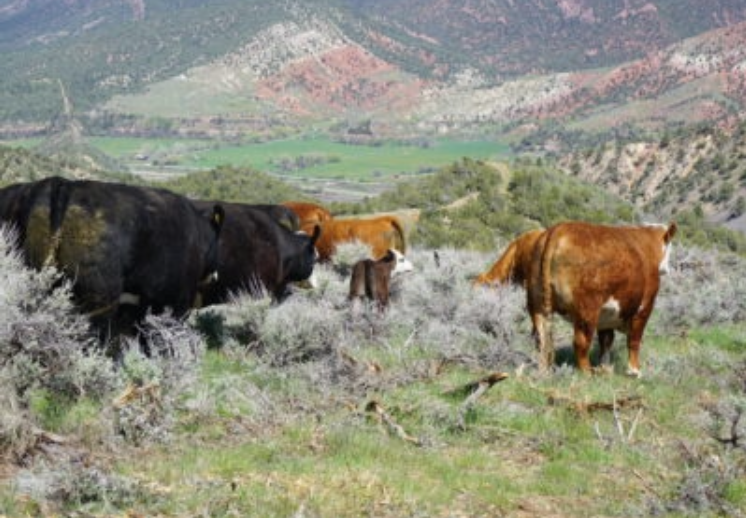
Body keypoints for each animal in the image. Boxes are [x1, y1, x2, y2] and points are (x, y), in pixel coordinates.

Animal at [524, 222, 676, 378]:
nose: (667, 268)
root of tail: (557, 230)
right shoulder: (644, 307)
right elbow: (634, 340)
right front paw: (634, 371)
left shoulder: (607, 315)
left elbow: (606, 341)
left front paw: (606, 368)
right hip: (587, 310)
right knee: (581, 342)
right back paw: (587, 372)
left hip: (537, 305)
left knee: (541, 339)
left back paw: (543, 372)